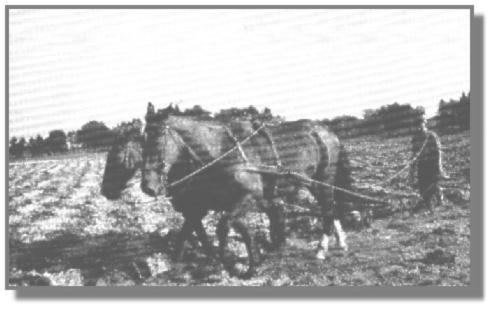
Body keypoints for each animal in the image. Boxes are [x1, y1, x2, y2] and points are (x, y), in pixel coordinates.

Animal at [139, 103, 354, 278]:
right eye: (142, 140)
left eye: (158, 139)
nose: (148, 186)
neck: (222, 152)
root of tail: (327, 131)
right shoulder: (207, 205)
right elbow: (190, 233)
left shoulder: (247, 197)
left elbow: (224, 227)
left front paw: (236, 265)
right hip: (314, 183)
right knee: (330, 209)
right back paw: (340, 242)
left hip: (323, 179)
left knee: (328, 209)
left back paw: (321, 249)